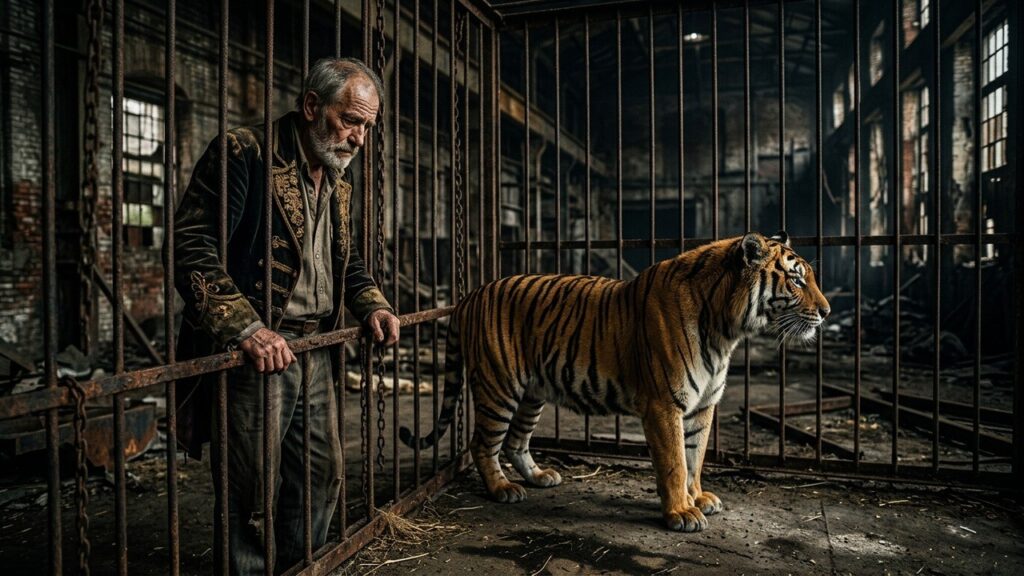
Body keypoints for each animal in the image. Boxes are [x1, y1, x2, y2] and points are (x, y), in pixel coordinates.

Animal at [400, 232, 830, 532]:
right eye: (796, 281)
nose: (826, 312)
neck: (726, 330)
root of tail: (471, 294)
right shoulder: (664, 404)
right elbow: (675, 462)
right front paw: (680, 512)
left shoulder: (703, 405)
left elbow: (695, 457)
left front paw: (698, 498)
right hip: (499, 387)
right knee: (482, 443)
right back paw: (503, 489)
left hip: (532, 393)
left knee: (515, 441)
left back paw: (540, 477)